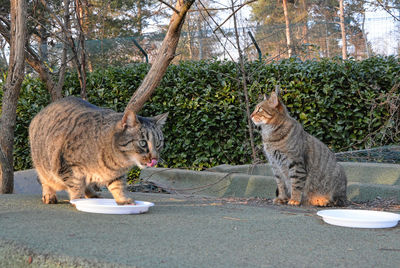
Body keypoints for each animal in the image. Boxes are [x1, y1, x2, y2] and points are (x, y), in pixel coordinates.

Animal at [29, 97, 167, 205]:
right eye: (143, 143)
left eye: (158, 143)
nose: (155, 158)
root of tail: (42, 111)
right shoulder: (68, 167)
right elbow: (76, 186)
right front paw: (77, 200)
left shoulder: (116, 174)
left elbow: (118, 186)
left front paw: (123, 200)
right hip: (43, 165)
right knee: (45, 181)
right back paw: (49, 195)